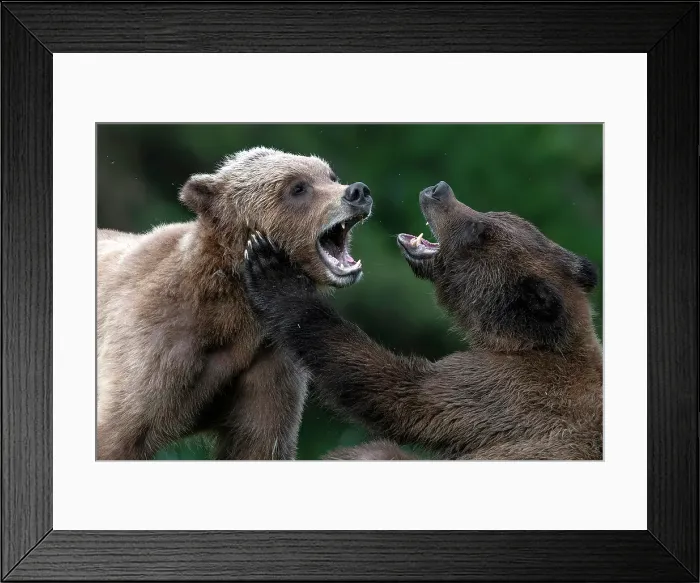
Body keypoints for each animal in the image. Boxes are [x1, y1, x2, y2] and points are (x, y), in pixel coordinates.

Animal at [97, 147, 372, 460]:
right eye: (298, 187)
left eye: (330, 176)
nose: (357, 192)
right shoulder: (159, 342)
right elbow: (120, 432)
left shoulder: (267, 360)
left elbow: (260, 442)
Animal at [242, 180, 602, 460]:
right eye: (495, 214)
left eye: (478, 229)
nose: (440, 190)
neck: (519, 341)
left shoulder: (503, 389)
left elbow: (396, 390)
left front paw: (273, 272)